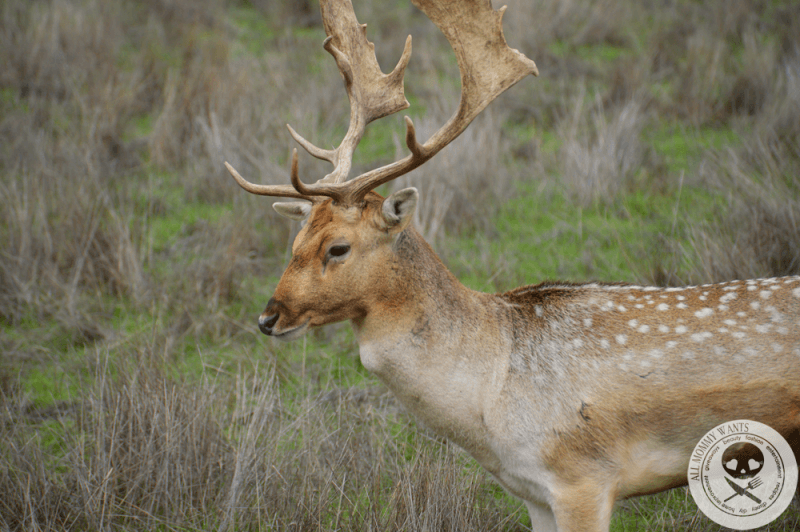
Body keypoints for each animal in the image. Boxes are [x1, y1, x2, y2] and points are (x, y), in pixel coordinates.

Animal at [223, 1, 800, 532]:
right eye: (296, 239)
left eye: (338, 248)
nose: (268, 317)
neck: (491, 403)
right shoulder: (533, 493)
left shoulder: (584, 477)